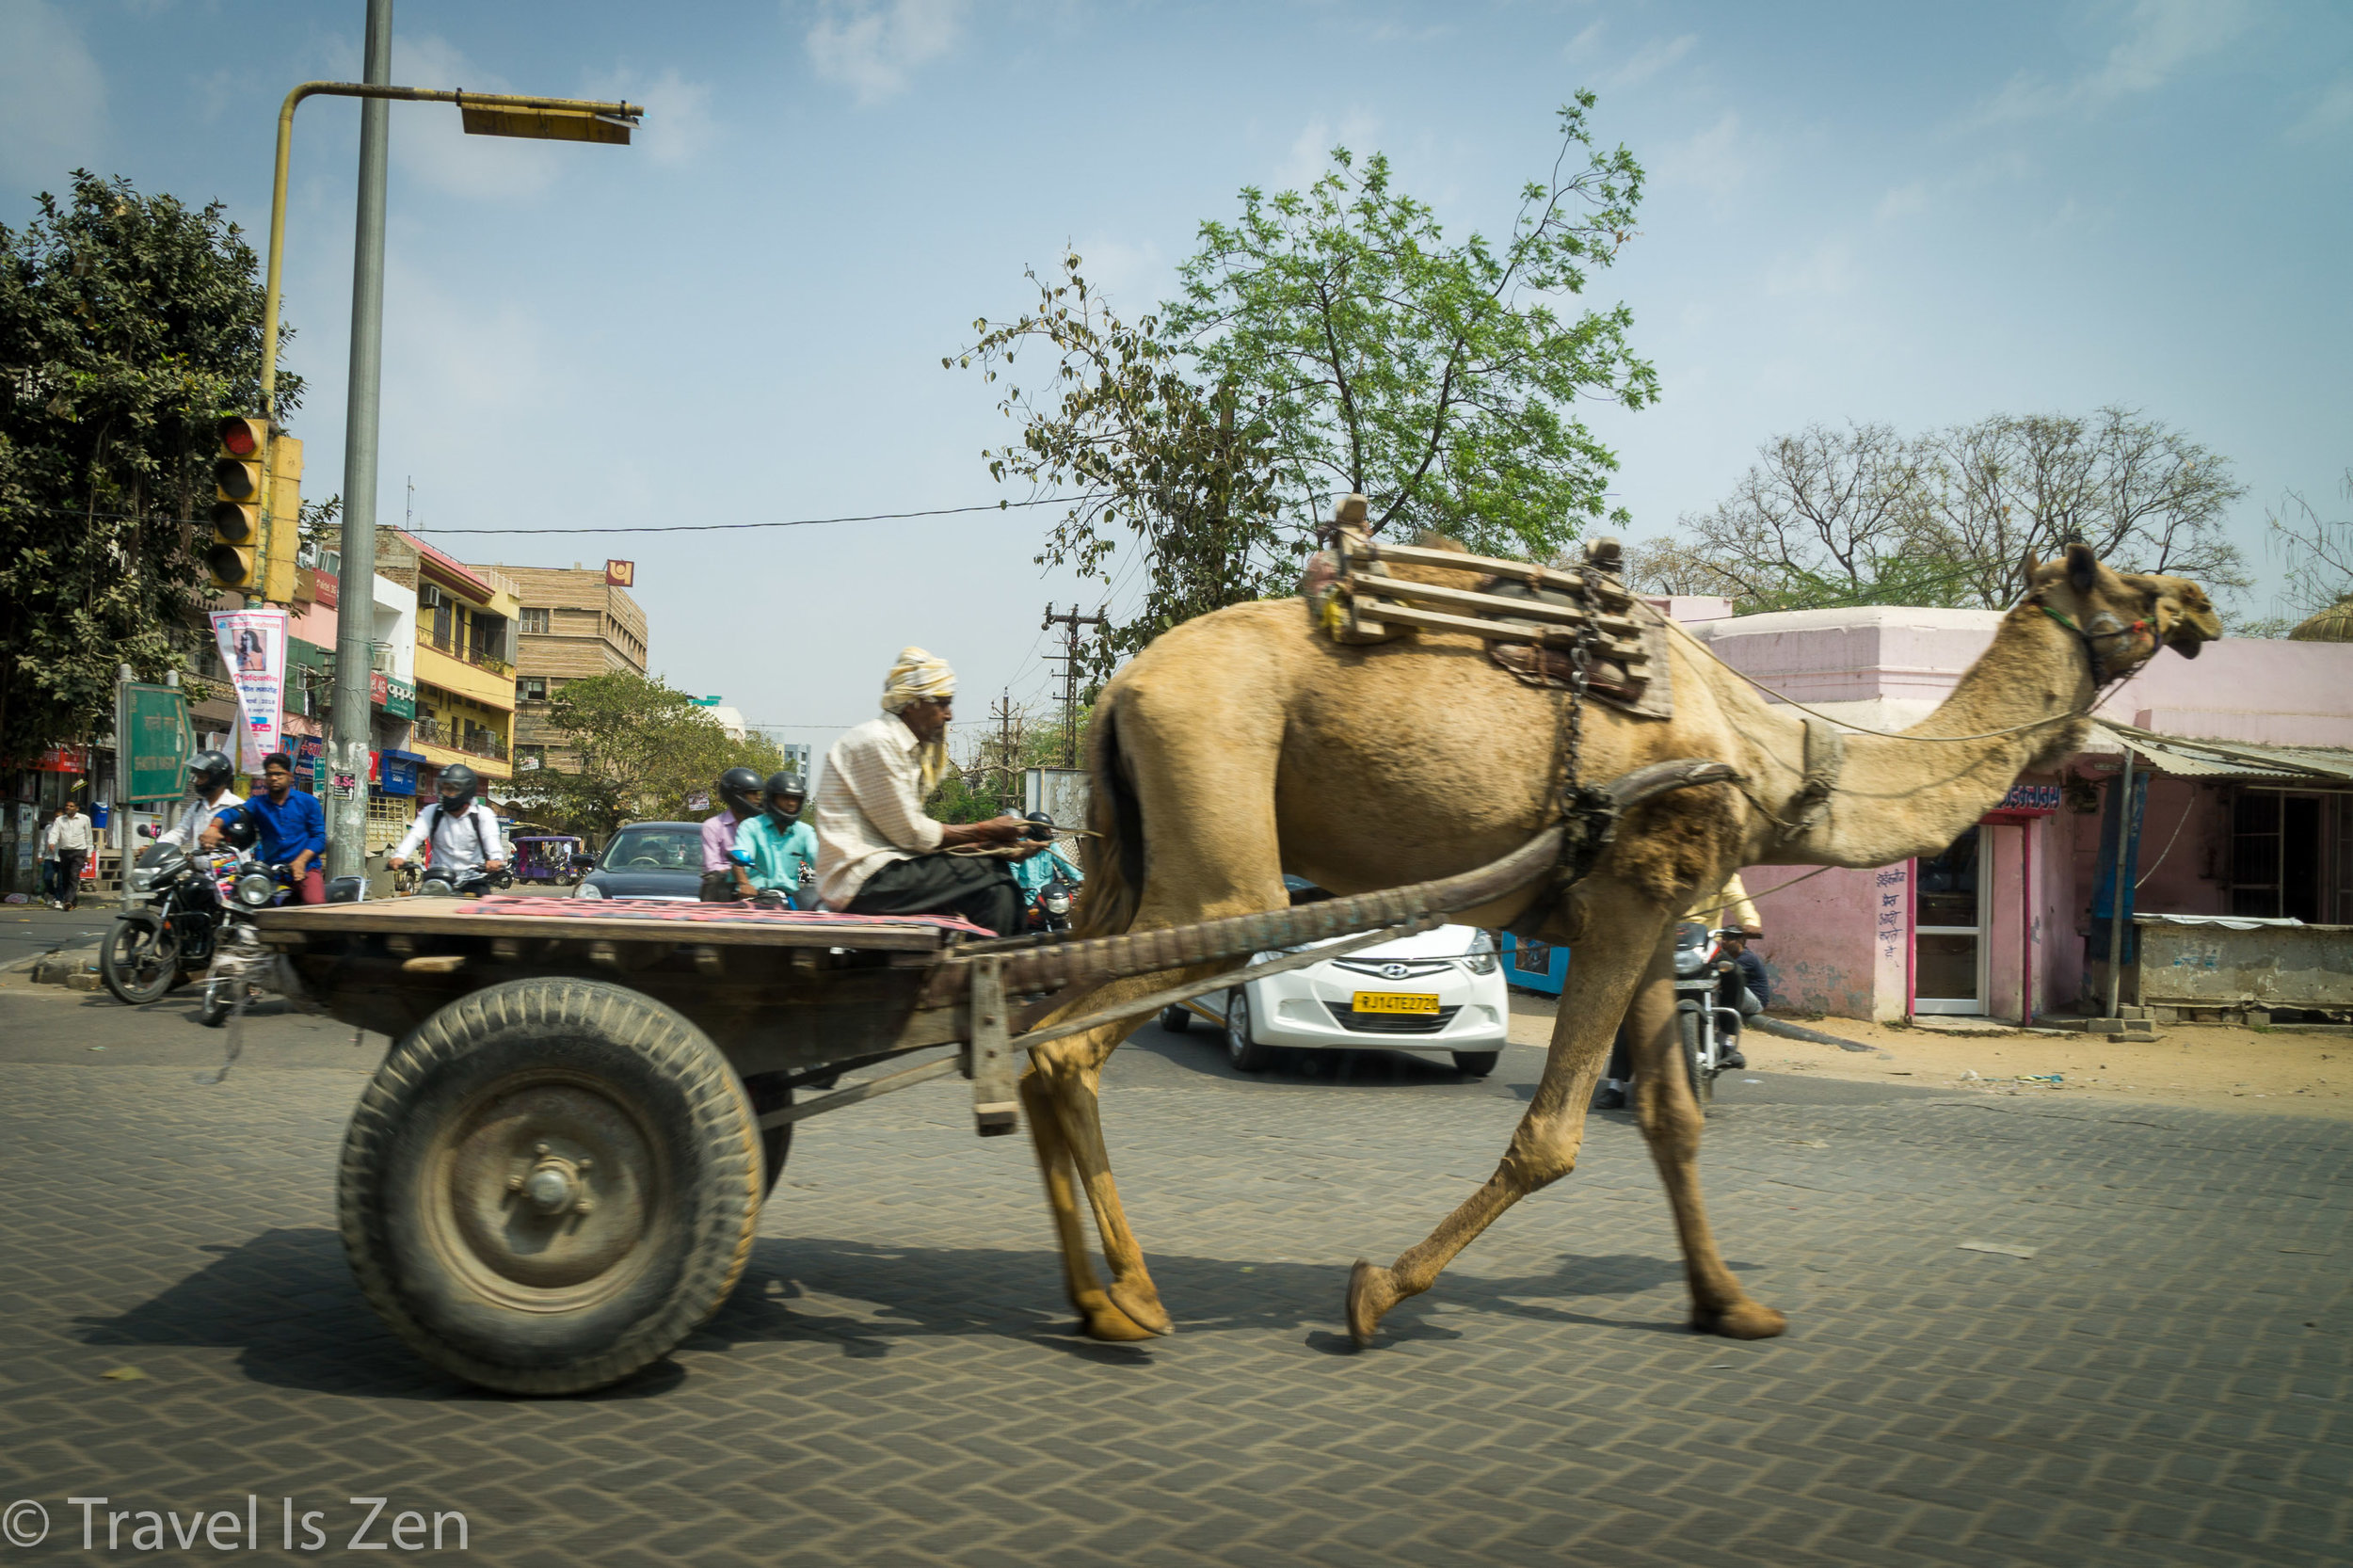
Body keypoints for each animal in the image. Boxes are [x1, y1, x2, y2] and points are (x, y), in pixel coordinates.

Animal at [1016, 543, 2221, 1336]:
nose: (2200, 601)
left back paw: (1091, 1295)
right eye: (2108, 574)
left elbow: (1670, 1115)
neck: (1779, 757)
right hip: (1219, 845)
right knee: (1068, 1041)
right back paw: (1133, 1298)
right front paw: (1376, 1292)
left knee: (1031, 1036)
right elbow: (1553, 1135)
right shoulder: (1631, 892)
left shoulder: (1654, 918)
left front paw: (1729, 1301)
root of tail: (1120, 686)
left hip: (1136, 859)